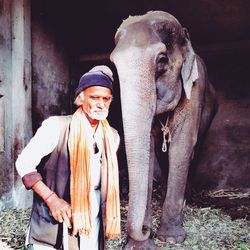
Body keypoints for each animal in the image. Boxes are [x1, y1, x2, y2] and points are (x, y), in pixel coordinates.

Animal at [110, 10, 218, 249]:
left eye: (161, 60)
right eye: (114, 65)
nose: (144, 229)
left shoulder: (194, 91)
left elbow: (182, 146)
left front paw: (171, 238)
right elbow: (148, 150)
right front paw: (140, 245)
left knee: (194, 150)